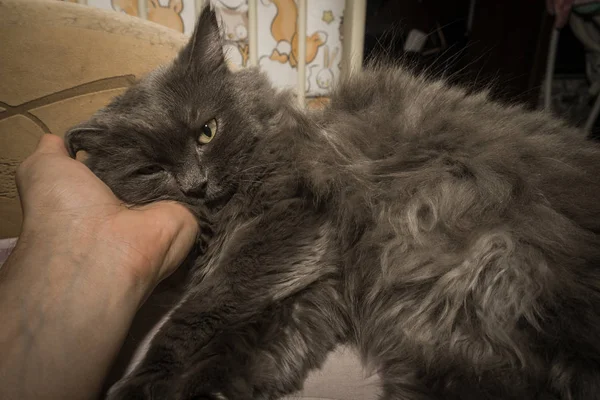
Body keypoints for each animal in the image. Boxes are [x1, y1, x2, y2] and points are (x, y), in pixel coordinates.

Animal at [65, 7, 600, 400]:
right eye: (150, 171)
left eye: (207, 132)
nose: (195, 185)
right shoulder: (315, 284)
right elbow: (253, 349)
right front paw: (205, 389)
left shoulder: (290, 223)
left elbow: (200, 311)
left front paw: (144, 381)